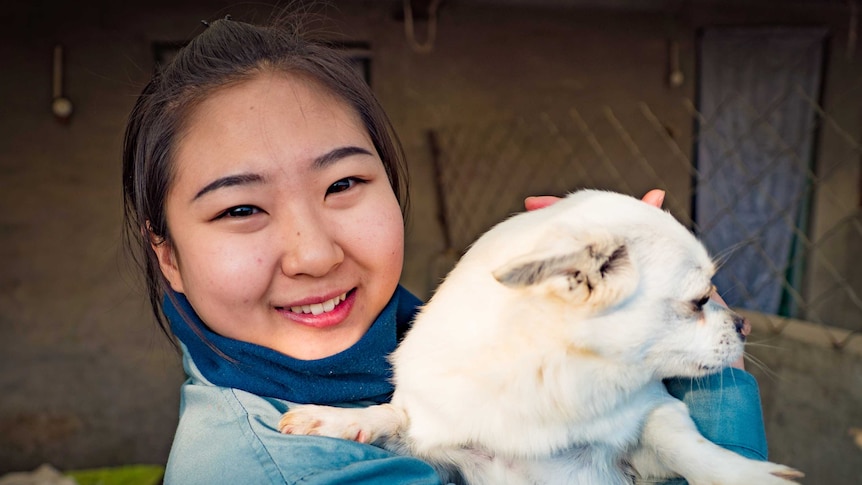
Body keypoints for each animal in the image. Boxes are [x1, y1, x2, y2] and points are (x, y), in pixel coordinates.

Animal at [280, 189, 808, 484]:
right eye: (701, 300)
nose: (743, 324)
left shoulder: (647, 440)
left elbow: (684, 443)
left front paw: (745, 475)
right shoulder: (438, 449)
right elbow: (394, 416)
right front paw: (336, 420)